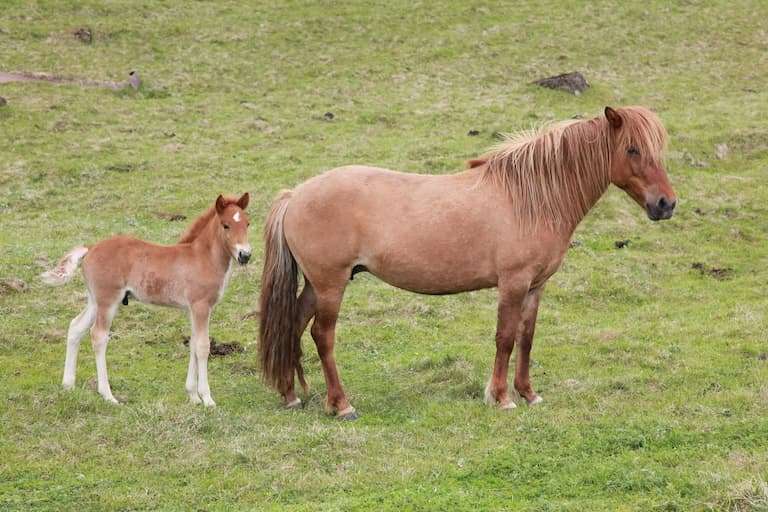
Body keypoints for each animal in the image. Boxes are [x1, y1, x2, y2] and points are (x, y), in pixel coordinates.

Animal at [41, 193, 251, 407]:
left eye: (247, 224)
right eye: (226, 225)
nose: (245, 255)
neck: (202, 257)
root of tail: (90, 248)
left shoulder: (193, 309)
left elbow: (192, 343)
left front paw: (193, 397)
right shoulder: (201, 306)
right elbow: (202, 346)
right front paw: (207, 399)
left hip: (95, 301)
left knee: (76, 327)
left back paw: (68, 385)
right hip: (108, 300)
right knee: (98, 335)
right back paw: (108, 395)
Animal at [259, 106, 676, 420]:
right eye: (632, 150)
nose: (666, 204)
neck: (531, 198)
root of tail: (295, 195)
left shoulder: (535, 286)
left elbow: (526, 338)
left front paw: (528, 394)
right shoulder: (513, 283)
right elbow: (505, 338)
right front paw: (502, 397)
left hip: (316, 285)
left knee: (294, 325)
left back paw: (292, 395)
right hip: (331, 284)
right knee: (322, 335)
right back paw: (341, 405)